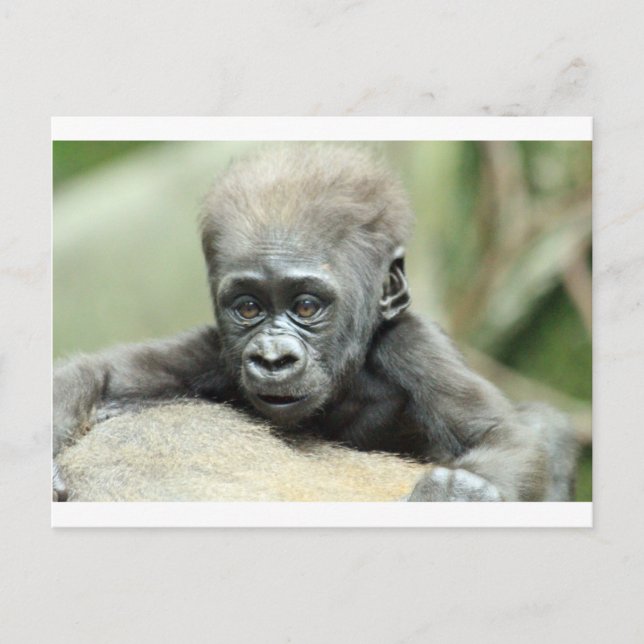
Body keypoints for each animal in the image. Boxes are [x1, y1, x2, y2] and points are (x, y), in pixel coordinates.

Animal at [53, 143, 578, 502]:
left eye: (306, 307)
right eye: (248, 308)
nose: (272, 358)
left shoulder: (412, 345)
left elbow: (508, 437)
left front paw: (455, 496)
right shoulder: (216, 352)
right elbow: (102, 373)